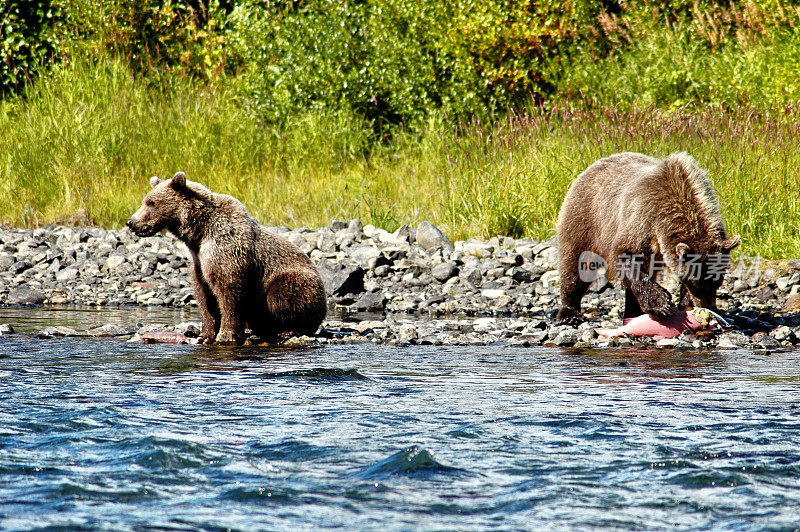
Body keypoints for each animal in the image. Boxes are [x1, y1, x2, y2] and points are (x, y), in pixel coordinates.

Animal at [126, 171, 326, 344]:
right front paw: (206, 334)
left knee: (281, 297)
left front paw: (226, 334)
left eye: (151, 202)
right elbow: (204, 294)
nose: (131, 222)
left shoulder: (227, 251)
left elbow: (228, 291)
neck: (200, 232)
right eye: (145, 201)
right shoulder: (199, 261)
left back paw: (289, 329)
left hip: (294, 279)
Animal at [556, 151, 736, 324]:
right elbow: (626, 255)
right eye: (695, 283)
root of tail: (592, 166)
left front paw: (686, 303)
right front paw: (661, 303)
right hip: (584, 220)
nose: (708, 306)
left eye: (718, 282)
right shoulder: (643, 218)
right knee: (576, 266)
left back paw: (633, 312)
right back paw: (569, 312)